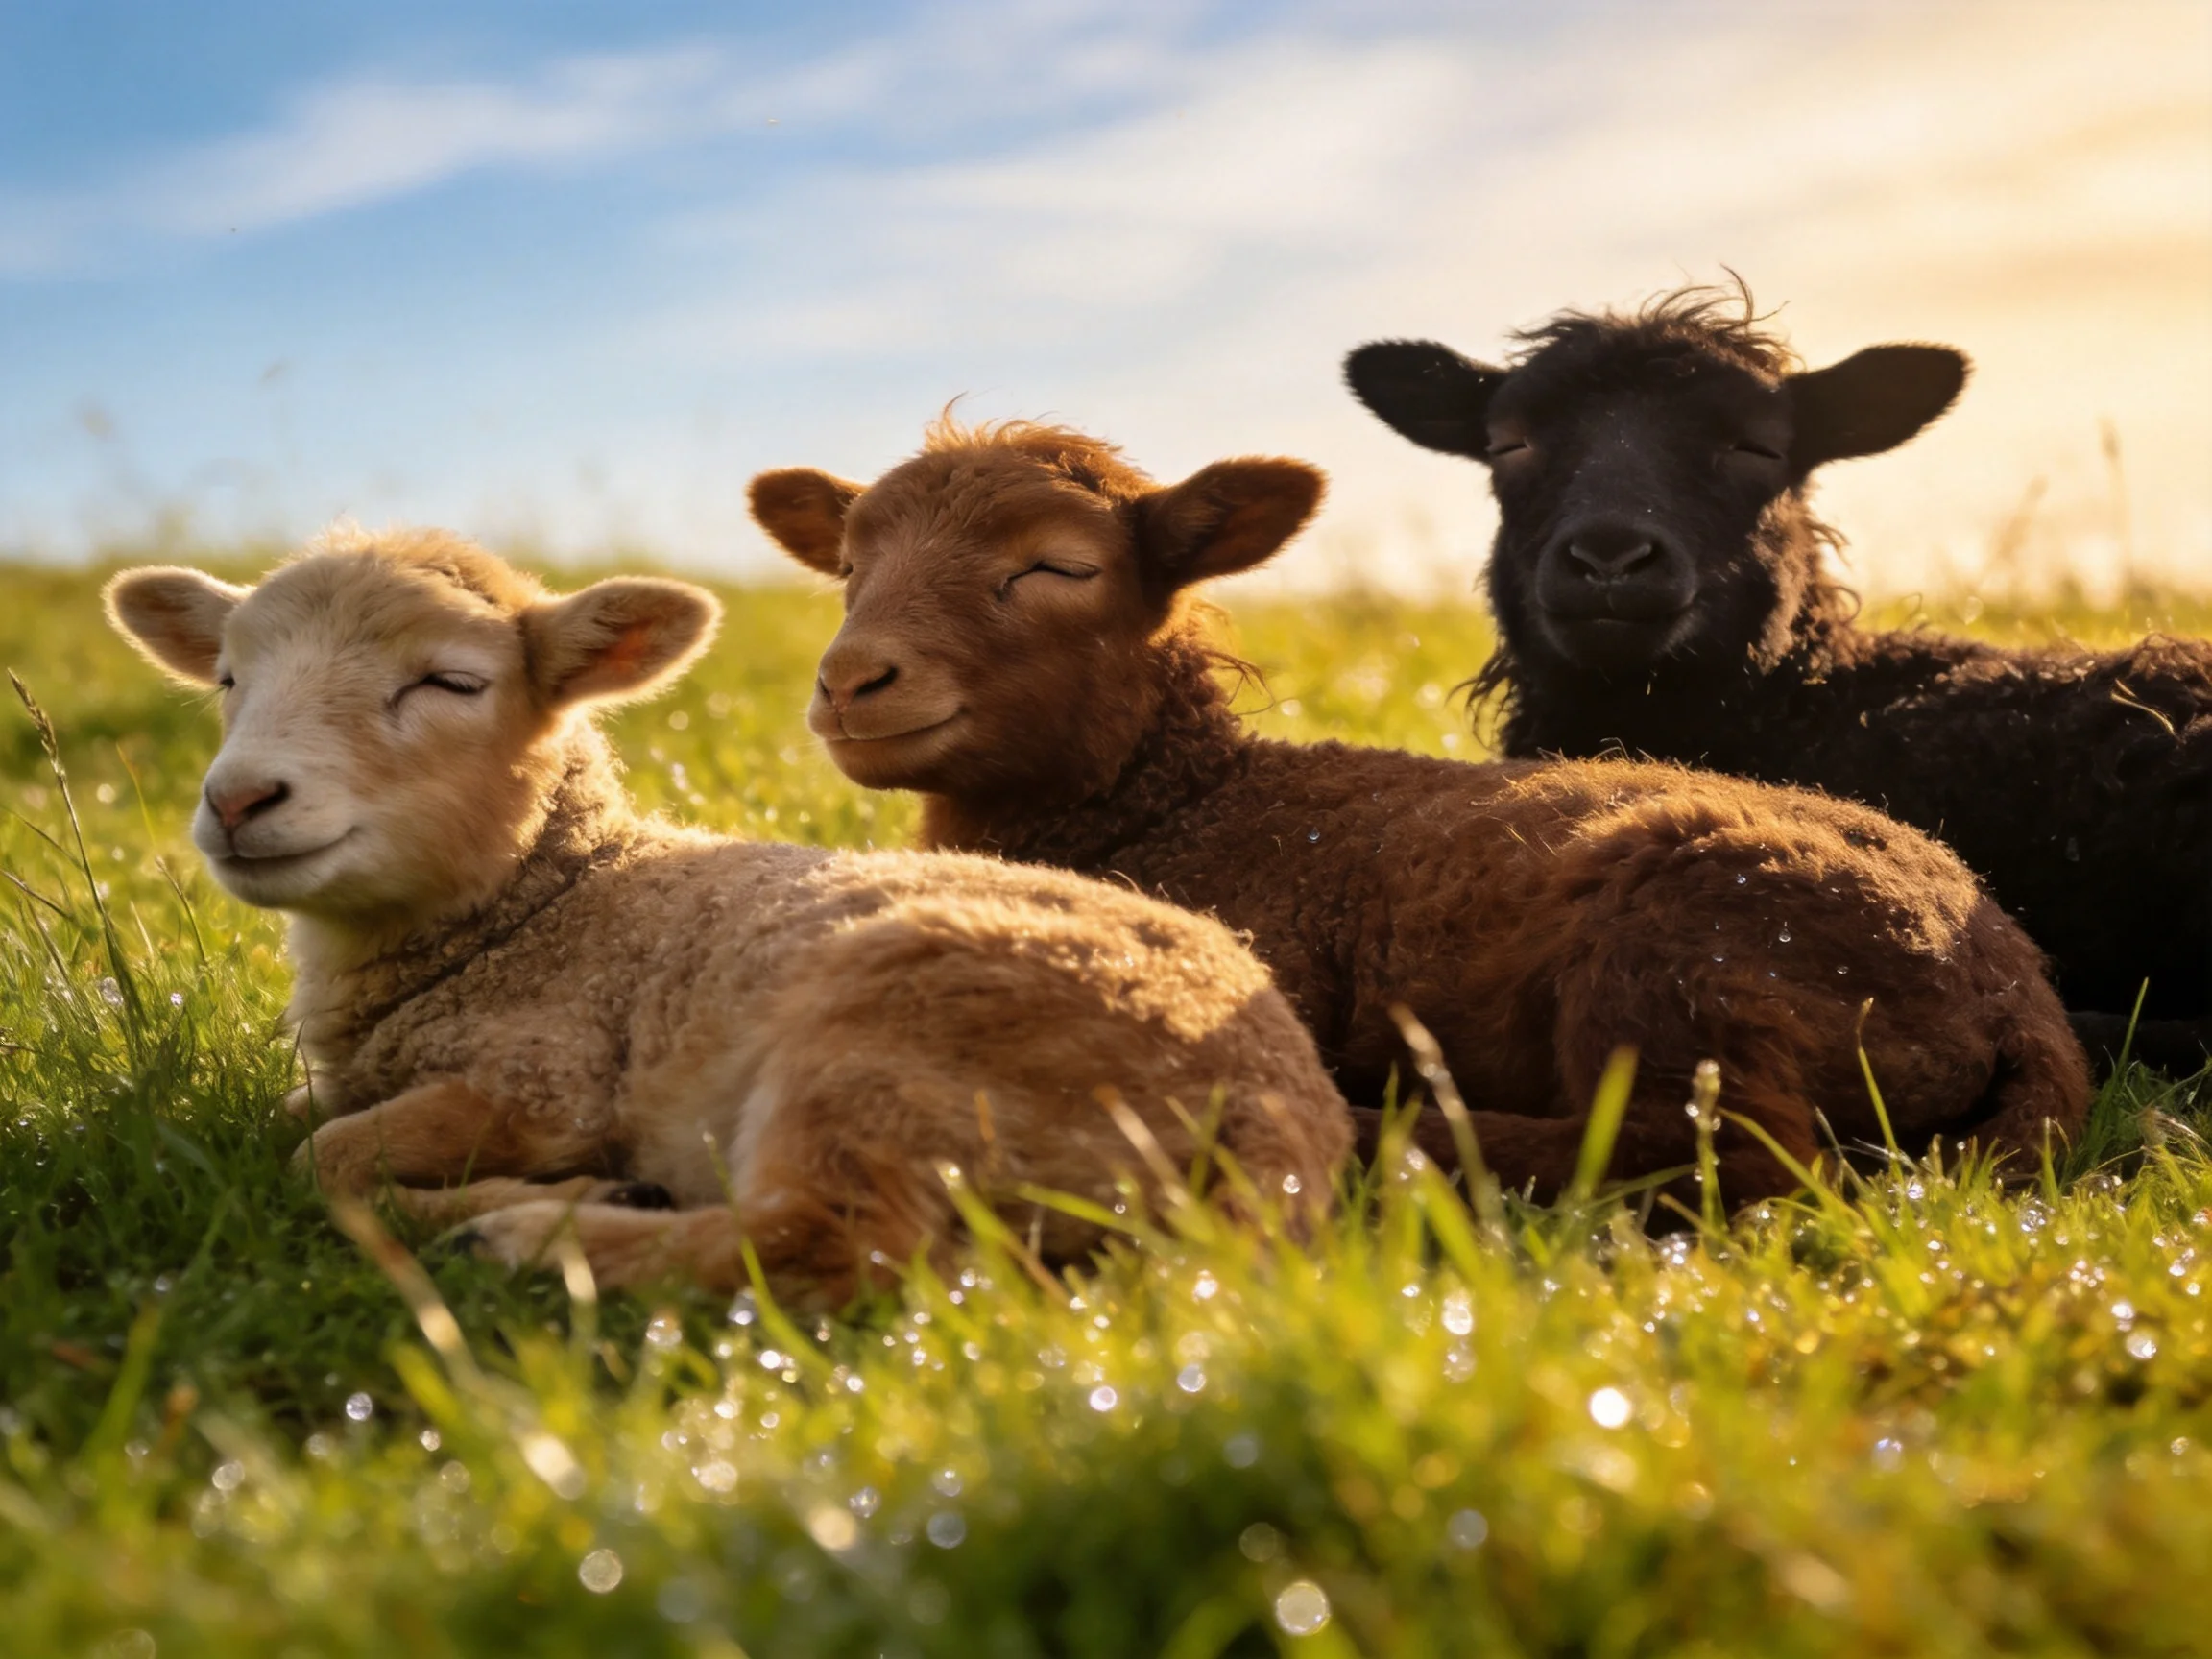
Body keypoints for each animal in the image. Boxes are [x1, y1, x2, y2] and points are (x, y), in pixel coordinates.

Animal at [100, 527, 1350, 1304]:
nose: (238, 800)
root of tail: (1284, 1132)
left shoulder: (547, 1077)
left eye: (451, 683)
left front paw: (511, 1192)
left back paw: (533, 1235)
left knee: (836, 1246)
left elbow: (323, 1159)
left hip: (893, 1029)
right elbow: (277, 1129)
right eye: (227, 678)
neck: (555, 900)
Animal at [748, 418, 2091, 1207]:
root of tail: (2011, 984)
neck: (1172, 804)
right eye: (850, 566)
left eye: (1058, 566)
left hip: (1686, 944)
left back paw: (1395, 1135)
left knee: (1723, 1151)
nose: (851, 681)